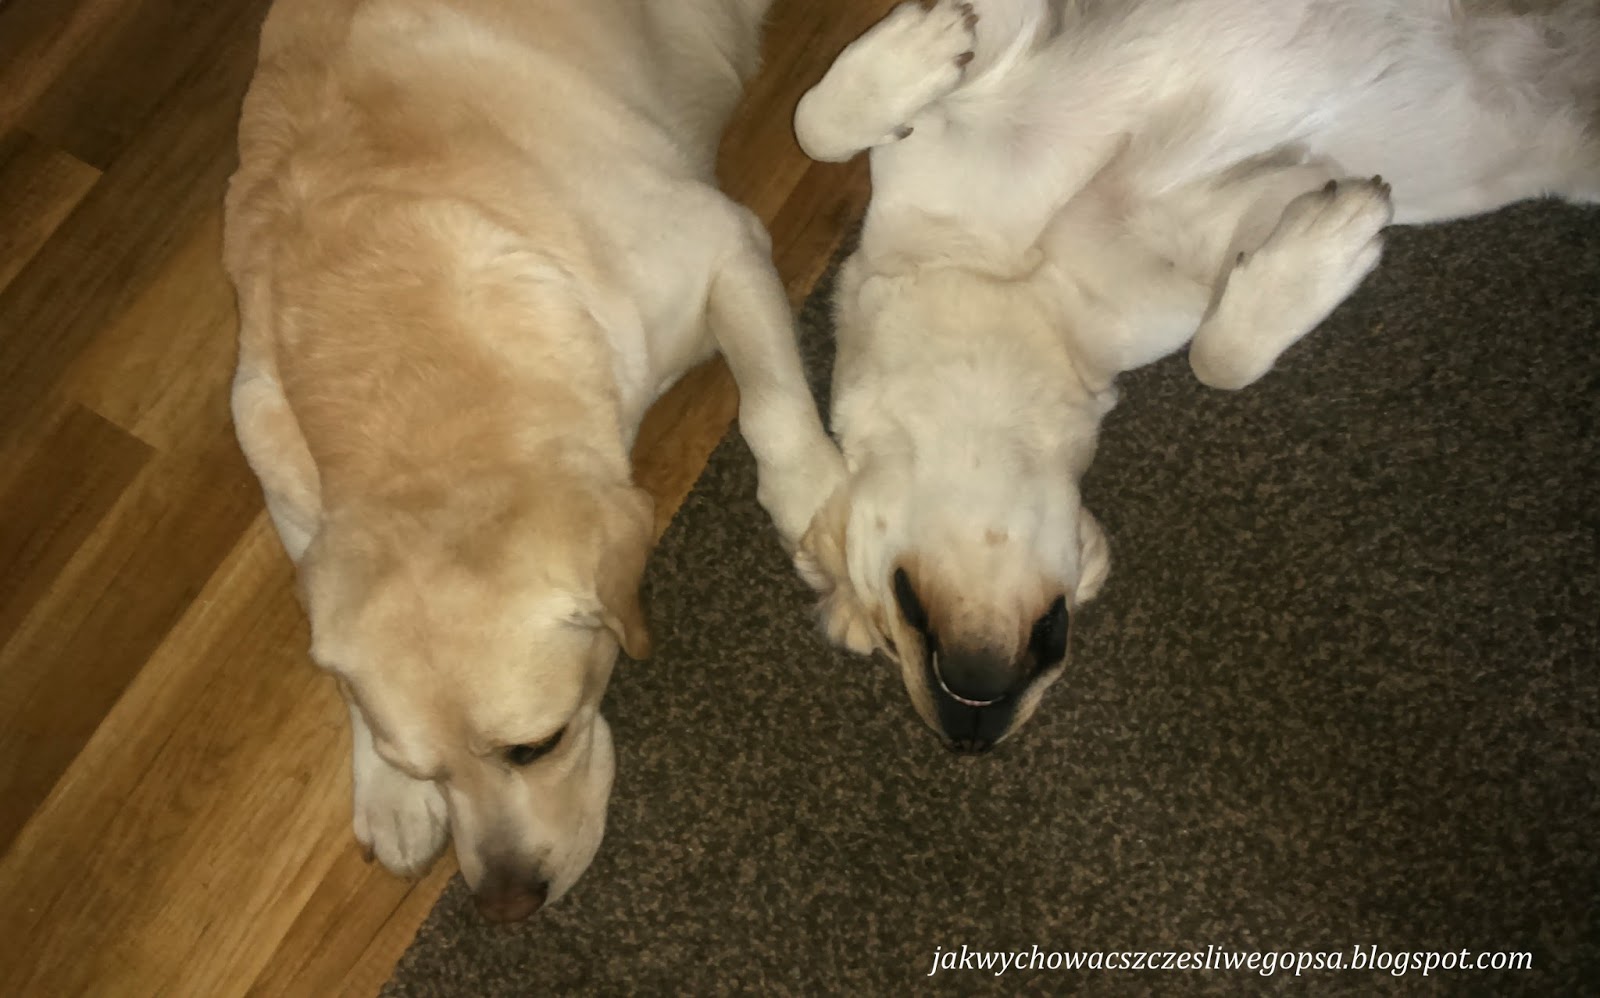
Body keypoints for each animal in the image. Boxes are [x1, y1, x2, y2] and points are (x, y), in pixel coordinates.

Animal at [224, 0, 842, 920]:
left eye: (535, 747)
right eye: (428, 769)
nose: (506, 905)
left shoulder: (724, 244)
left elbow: (770, 406)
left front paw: (814, 495)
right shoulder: (282, 476)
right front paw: (388, 792)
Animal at [792, 0, 1598, 752]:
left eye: (895, 621)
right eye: (884, 643)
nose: (967, 739)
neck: (1015, 274)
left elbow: (814, 124)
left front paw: (911, 55)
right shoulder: (1189, 265)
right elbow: (1222, 355)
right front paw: (1326, 246)